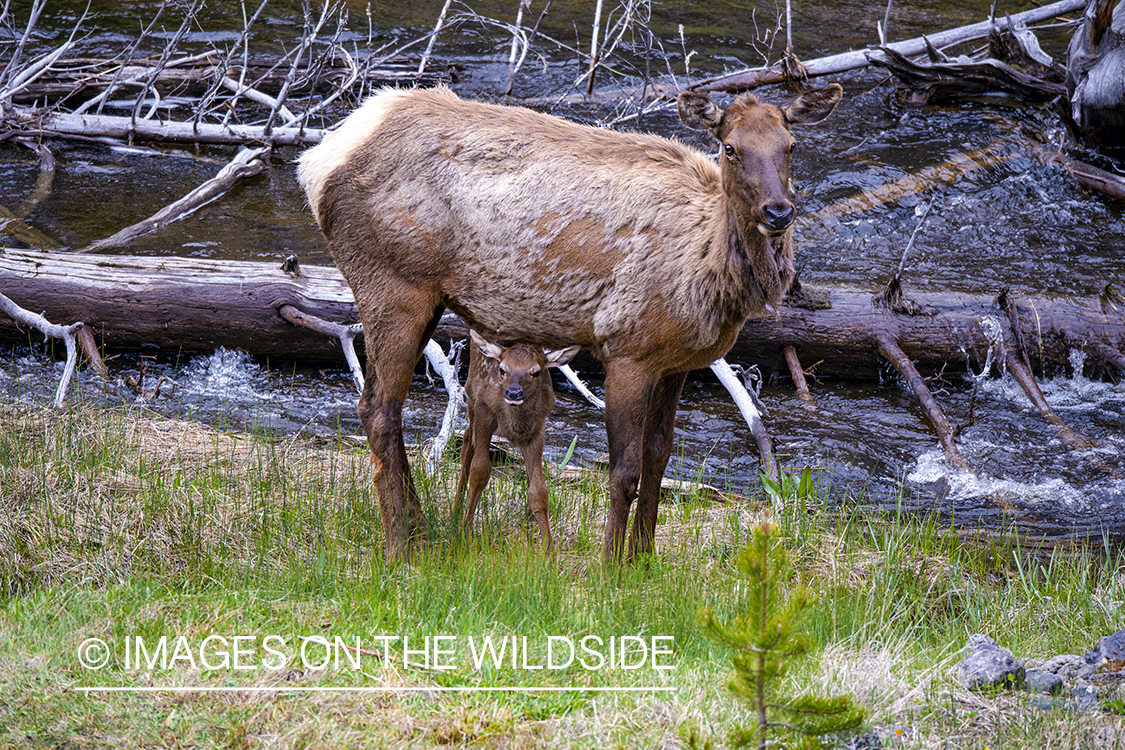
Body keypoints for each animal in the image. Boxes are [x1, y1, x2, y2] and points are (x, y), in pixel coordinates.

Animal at [452, 330, 580, 555]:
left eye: (536, 372)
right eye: (502, 369)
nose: (513, 392)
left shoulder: (537, 430)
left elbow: (539, 491)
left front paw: (550, 554)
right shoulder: (484, 412)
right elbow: (479, 473)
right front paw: (463, 537)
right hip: (470, 395)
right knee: (467, 442)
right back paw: (455, 510)